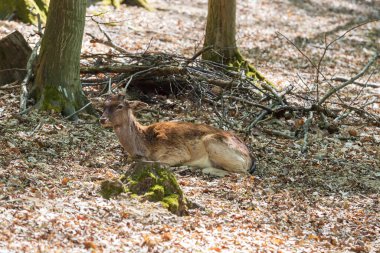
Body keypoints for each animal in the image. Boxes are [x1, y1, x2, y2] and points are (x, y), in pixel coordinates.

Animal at [101, 96, 255, 177]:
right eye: (104, 105)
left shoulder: (177, 151)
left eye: (120, 106)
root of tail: (250, 159)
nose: (102, 119)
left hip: (213, 142)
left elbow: (157, 162)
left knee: (241, 173)